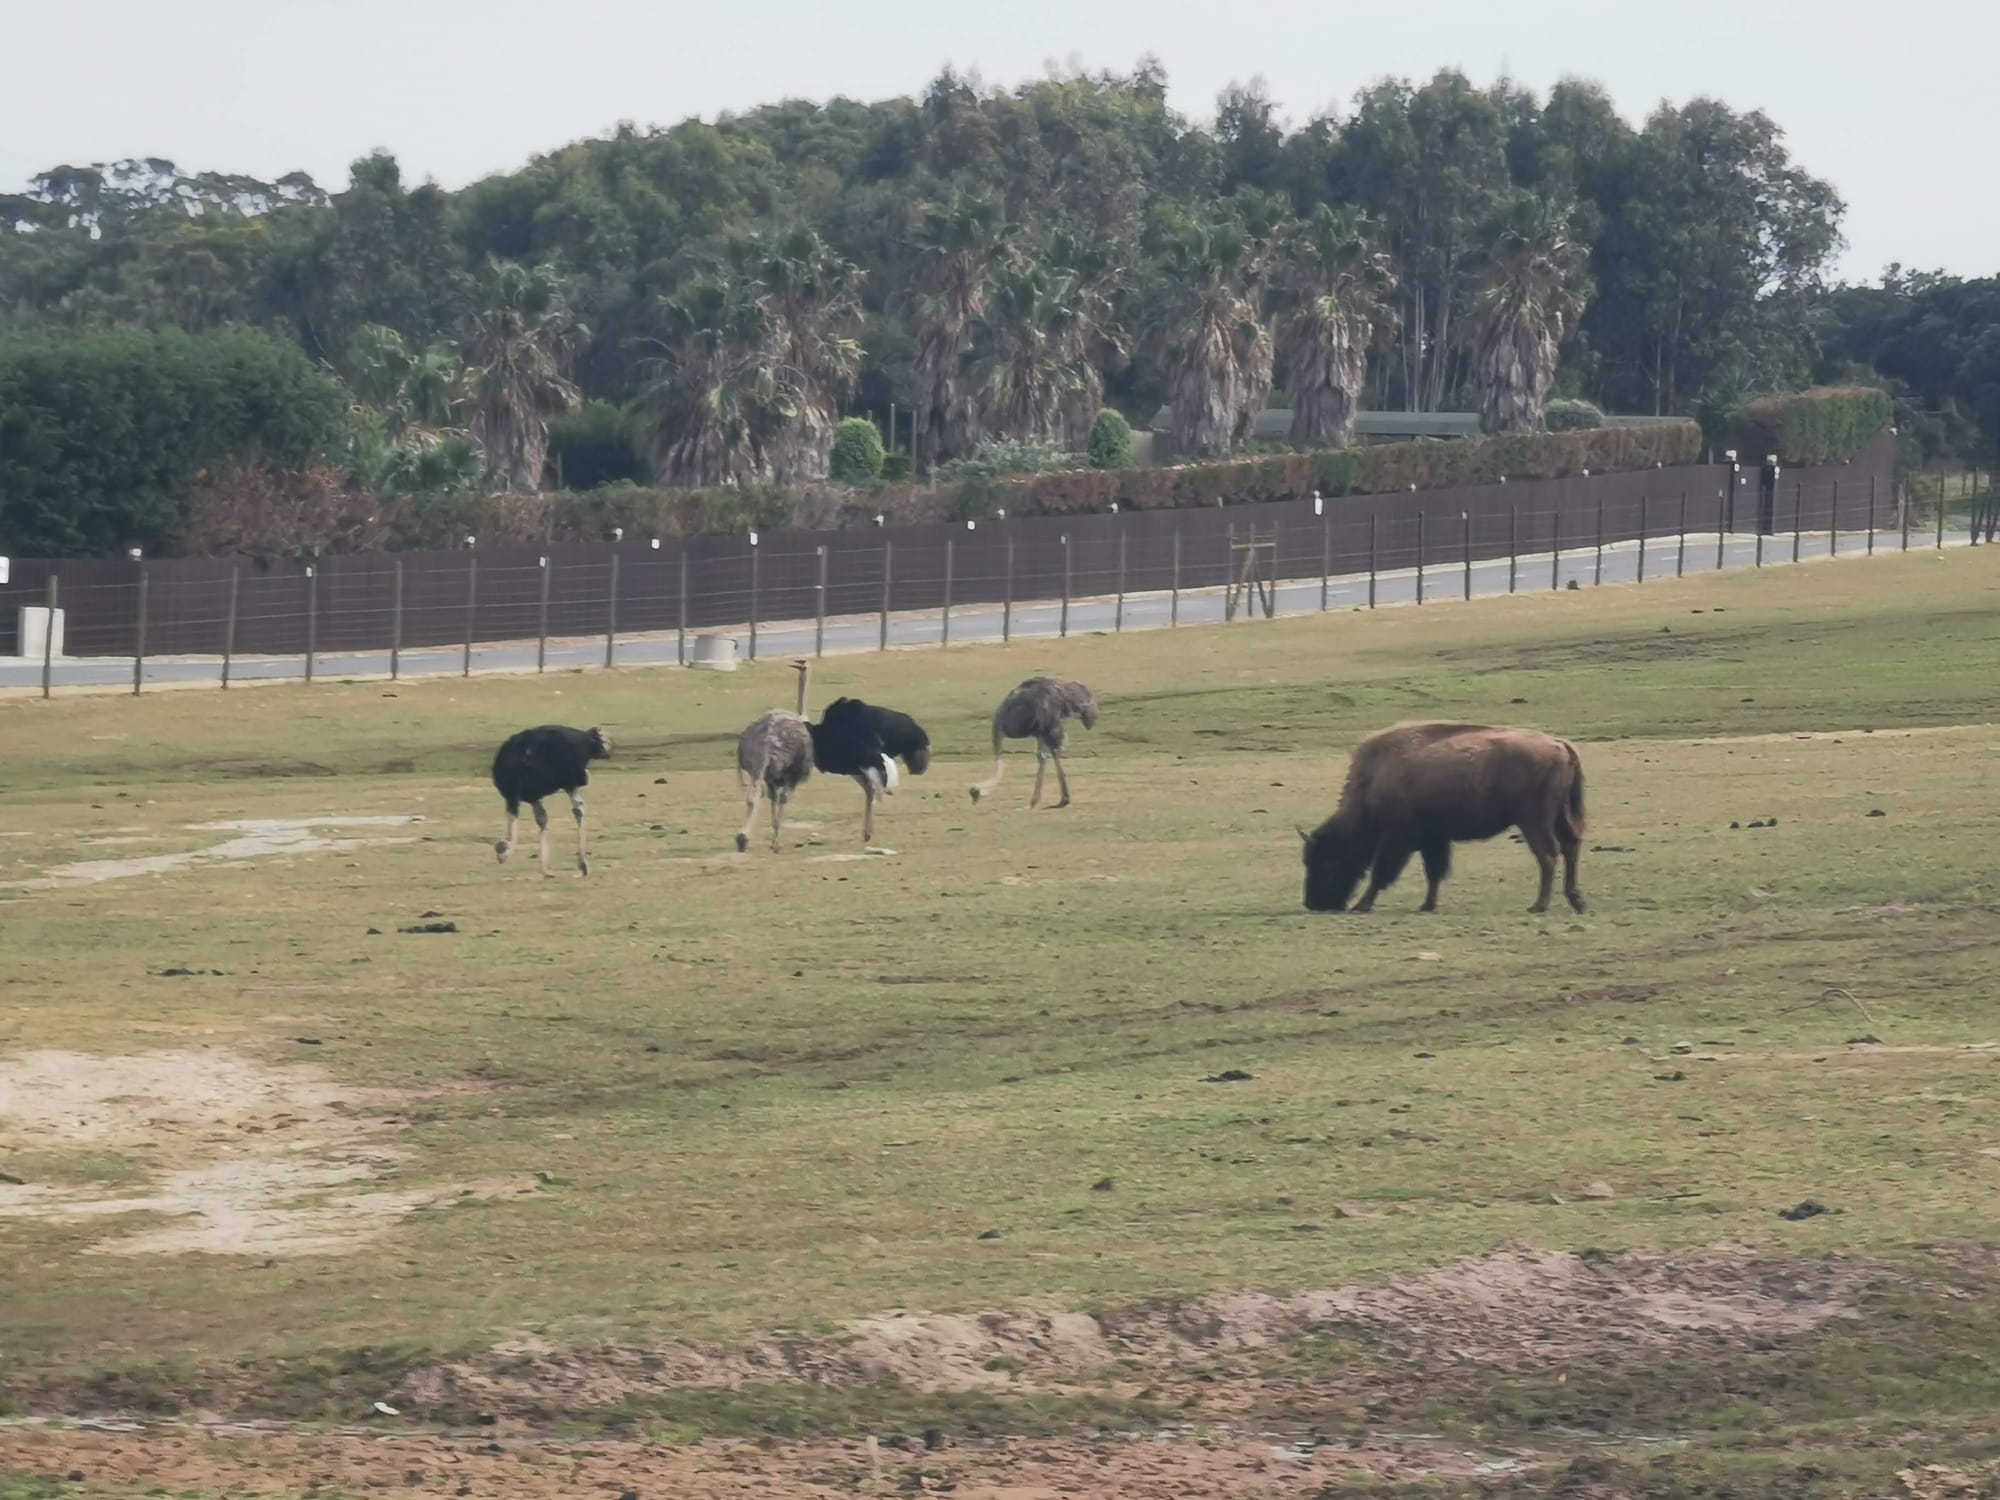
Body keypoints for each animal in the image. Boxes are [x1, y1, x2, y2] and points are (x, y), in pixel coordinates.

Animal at [1296, 720, 1592, 916]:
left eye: (1325, 861)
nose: (1313, 903)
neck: (1373, 781)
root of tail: (1560, 745)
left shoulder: (1396, 839)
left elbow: (1382, 872)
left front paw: (1362, 905)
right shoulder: (1434, 839)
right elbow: (1434, 872)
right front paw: (1427, 905)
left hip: (1533, 819)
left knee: (1548, 854)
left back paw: (1538, 906)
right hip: (1558, 815)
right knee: (1570, 846)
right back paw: (1577, 902)